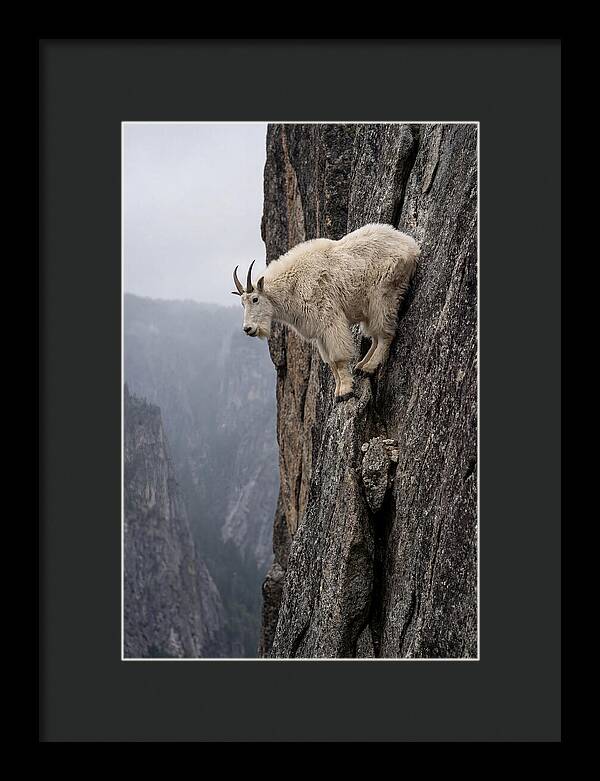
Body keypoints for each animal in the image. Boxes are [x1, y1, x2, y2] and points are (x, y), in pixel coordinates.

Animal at [232, 223, 420, 402]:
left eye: (255, 299)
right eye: (242, 303)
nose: (248, 329)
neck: (293, 286)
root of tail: (411, 245)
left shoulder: (329, 319)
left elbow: (338, 358)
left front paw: (345, 391)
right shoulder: (319, 333)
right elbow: (330, 363)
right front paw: (337, 391)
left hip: (383, 295)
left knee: (385, 333)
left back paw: (369, 367)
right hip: (369, 307)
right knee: (375, 336)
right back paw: (361, 366)